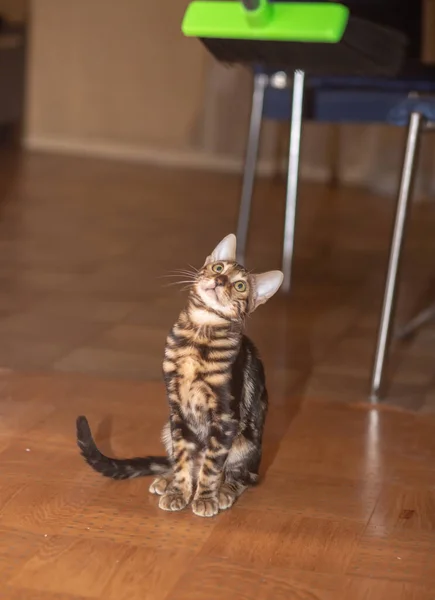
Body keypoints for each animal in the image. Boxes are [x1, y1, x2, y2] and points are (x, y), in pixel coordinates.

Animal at [76, 234, 284, 516]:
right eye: (218, 268)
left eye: (240, 285)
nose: (220, 280)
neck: (198, 334)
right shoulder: (177, 408)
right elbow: (183, 457)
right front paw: (178, 492)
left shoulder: (225, 416)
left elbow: (211, 465)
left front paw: (205, 498)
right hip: (168, 426)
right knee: (177, 460)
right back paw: (167, 480)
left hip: (245, 445)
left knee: (245, 477)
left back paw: (225, 491)